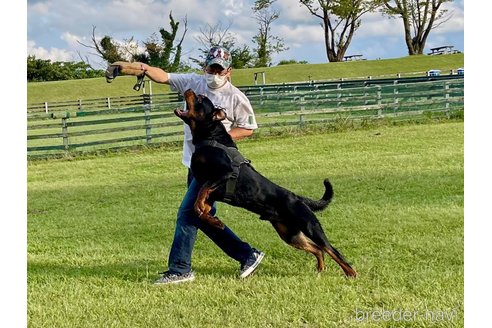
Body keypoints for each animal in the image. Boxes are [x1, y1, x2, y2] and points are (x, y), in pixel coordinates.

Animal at [175, 89, 356, 276]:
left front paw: (208, 215)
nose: (188, 90)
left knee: (332, 250)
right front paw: (216, 222)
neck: (210, 137)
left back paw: (351, 274)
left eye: (200, 99)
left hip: (310, 227)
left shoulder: (224, 173)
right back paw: (320, 270)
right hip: (290, 234)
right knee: (318, 249)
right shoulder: (212, 194)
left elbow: (200, 196)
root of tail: (298, 198)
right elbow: (201, 209)